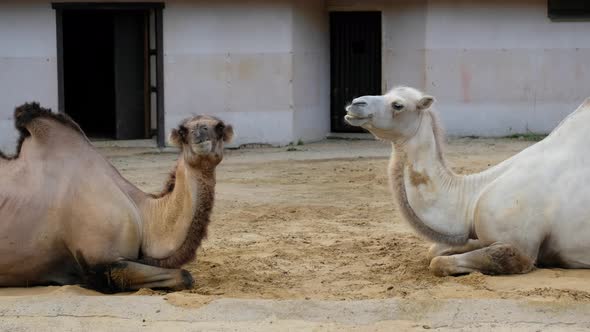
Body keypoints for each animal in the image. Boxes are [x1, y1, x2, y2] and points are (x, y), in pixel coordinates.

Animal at [0, 102, 235, 292]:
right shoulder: (101, 260)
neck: (142, 214)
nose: (200, 132)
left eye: (219, 127)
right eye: (184, 131)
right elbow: (184, 276)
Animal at [344, 85, 590, 274]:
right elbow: (434, 250)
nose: (355, 103)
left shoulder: (520, 247)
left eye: (398, 105)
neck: (472, 196)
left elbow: (438, 262)